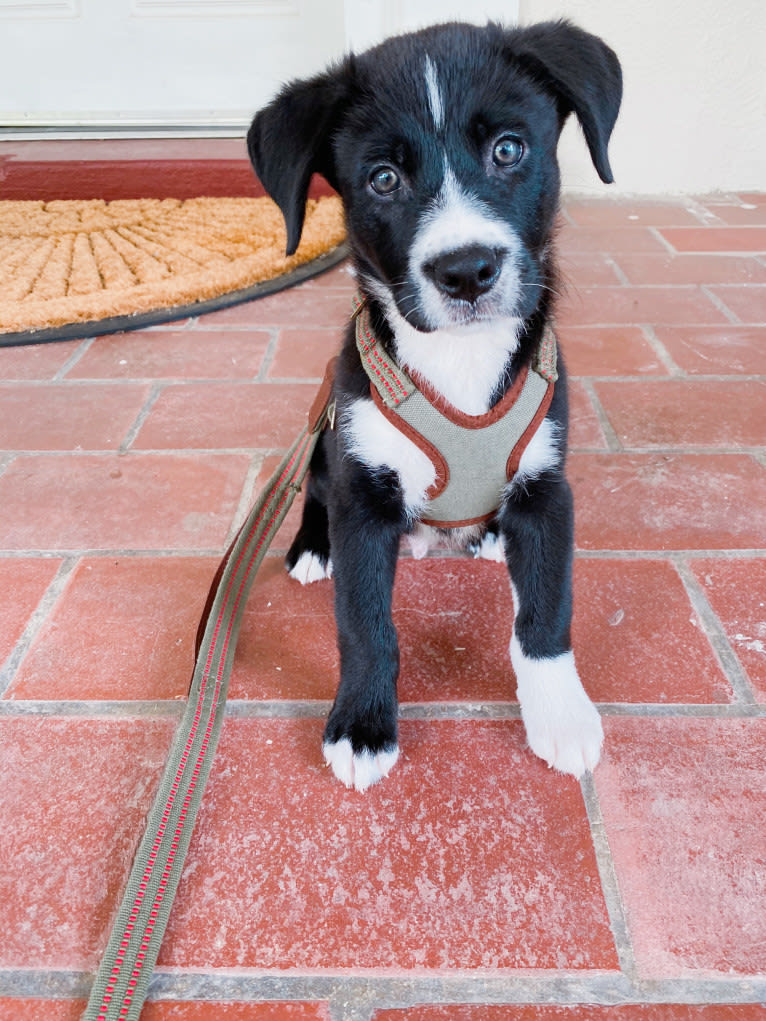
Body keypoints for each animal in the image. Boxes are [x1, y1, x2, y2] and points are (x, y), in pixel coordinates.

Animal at [250, 19, 625, 792]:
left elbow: (548, 614)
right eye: (383, 179)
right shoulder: (364, 494)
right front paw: (362, 726)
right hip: (330, 442)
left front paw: (562, 714)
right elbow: (365, 625)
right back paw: (312, 548)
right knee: (315, 490)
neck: (461, 360)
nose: (466, 271)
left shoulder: (548, 488)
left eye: (508, 149)